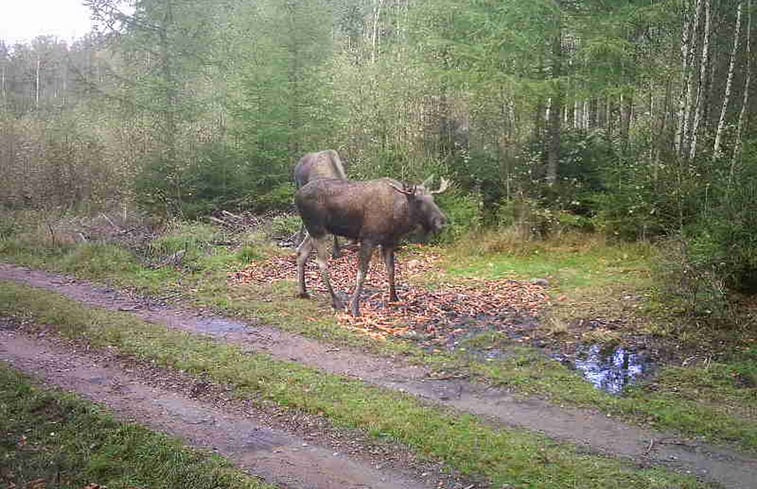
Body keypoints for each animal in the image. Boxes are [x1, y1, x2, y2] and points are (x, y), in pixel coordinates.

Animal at [294, 175, 448, 316]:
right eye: (419, 201)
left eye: (433, 199)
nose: (441, 222)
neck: (399, 219)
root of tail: (297, 196)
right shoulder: (368, 239)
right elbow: (361, 274)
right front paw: (355, 307)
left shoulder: (389, 242)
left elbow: (391, 269)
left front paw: (394, 297)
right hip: (318, 230)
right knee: (321, 263)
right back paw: (335, 300)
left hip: (313, 231)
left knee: (301, 251)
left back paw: (303, 291)